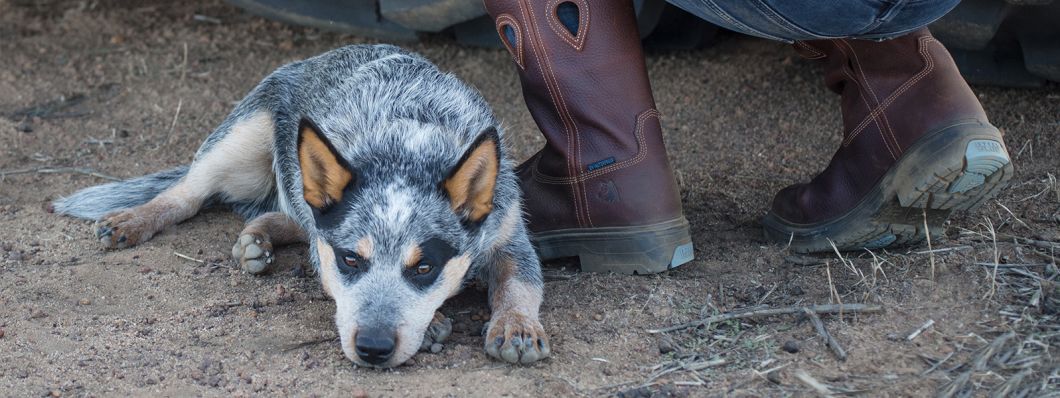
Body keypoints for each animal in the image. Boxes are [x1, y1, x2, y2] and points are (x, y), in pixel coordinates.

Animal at [50, 43, 551, 367]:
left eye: (424, 267)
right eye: (351, 260)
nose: (372, 348)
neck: (406, 144)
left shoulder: (509, 230)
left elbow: (519, 283)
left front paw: (517, 327)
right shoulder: (330, 246)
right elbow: (324, 257)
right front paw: (434, 325)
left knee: (290, 212)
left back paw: (258, 238)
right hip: (242, 135)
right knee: (189, 194)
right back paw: (135, 219)